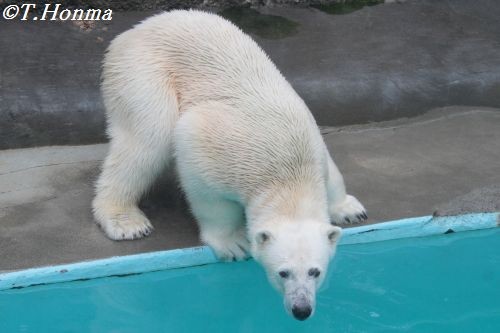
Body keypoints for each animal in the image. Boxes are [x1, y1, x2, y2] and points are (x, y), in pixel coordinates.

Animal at [94, 9, 368, 318]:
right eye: (283, 273)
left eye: (315, 272)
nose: (301, 309)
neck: (289, 171)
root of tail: (131, 32)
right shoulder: (217, 150)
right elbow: (203, 182)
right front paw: (234, 243)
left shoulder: (312, 141)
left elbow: (332, 175)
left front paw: (349, 209)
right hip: (143, 73)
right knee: (149, 136)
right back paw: (125, 220)